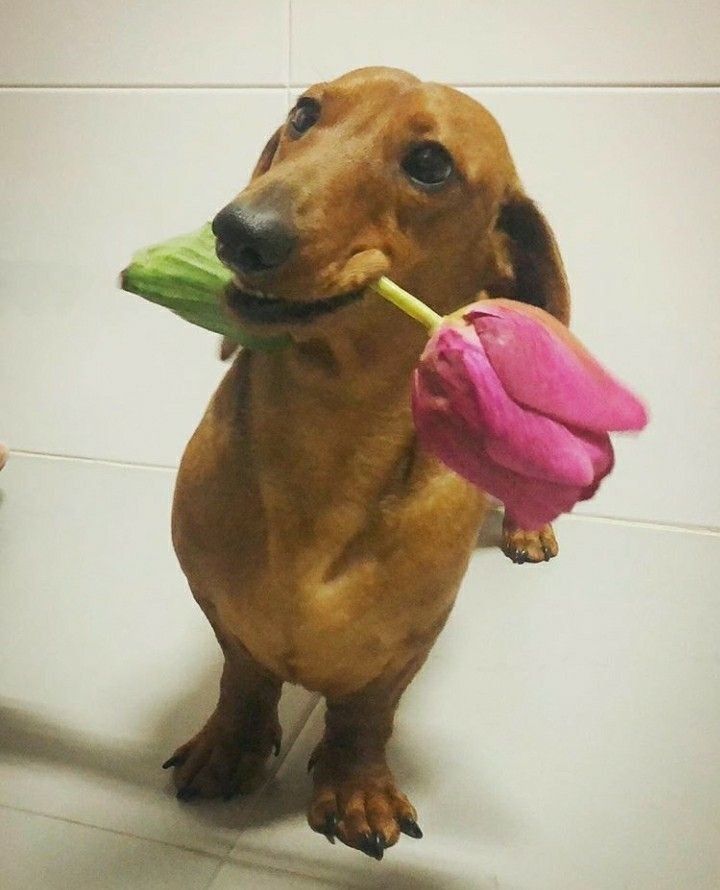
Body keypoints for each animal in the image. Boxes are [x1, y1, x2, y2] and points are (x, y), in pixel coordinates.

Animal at [166, 66, 570, 859]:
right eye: (304, 112)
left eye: (430, 163)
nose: (237, 232)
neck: (327, 438)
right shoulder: (216, 604)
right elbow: (243, 678)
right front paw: (229, 746)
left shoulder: (410, 642)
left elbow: (365, 715)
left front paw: (356, 788)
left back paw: (526, 529)